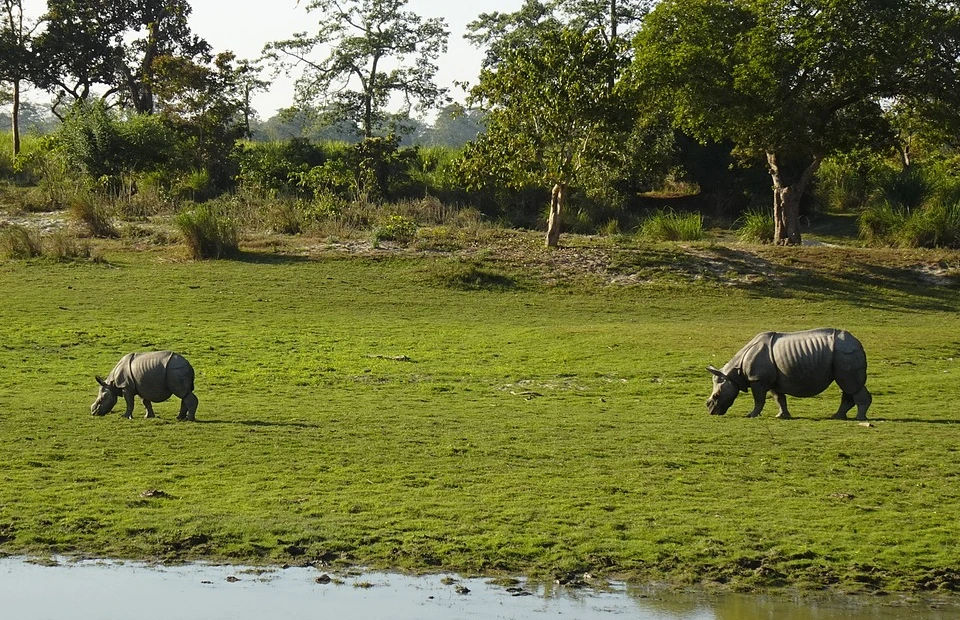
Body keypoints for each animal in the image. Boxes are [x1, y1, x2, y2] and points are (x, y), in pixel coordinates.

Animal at [706, 328, 871, 420]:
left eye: (716, 396)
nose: (711, 411)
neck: (733, 374)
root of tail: (858, 342)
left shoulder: (757, 379)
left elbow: (759, 400)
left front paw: (751, 415)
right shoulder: (772, 380)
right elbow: (779, 398)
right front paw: (782, 416)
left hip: (844, 352)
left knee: (851, 385)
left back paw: (859, 418)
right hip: (842, 353)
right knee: (848, 386)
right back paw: (837, 417)